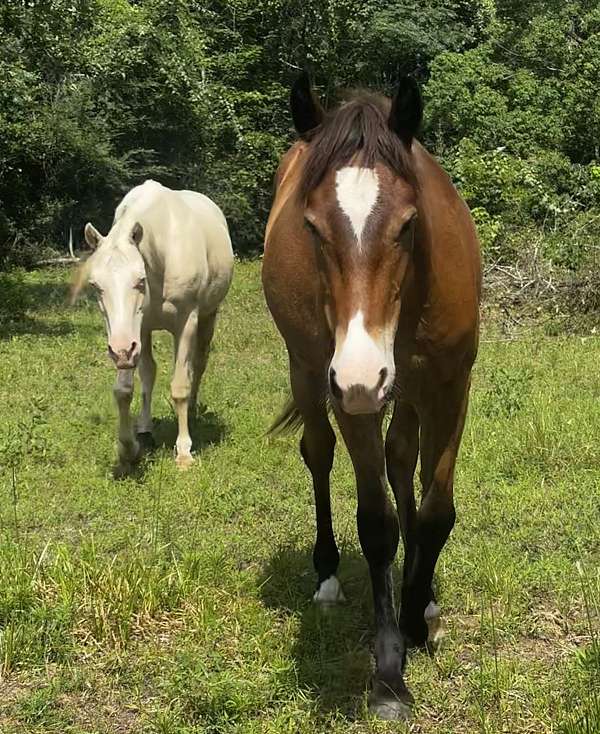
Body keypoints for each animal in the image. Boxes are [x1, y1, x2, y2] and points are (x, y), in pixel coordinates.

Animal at [72, 180, 234, 474]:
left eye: (139, 280)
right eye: (96, 286)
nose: (120, 351)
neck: (162, 252)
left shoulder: (186, 321)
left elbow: (180, 386)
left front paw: (184, 453)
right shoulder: (134, 332)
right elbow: (126, 389)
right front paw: (129, 449)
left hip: (208, 315)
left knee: (198, 364)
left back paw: (192, 411)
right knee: (149, 372)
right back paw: (145, 428)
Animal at [262, 73, 481, 719]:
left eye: (407, 223)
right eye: (311, 227)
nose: (361, 372)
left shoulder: (449, 388)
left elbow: (435, 512)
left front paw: (418, 613)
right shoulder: (351, 398)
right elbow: (377, 523)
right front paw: (388, 670)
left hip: (401, 392)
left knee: (402, 458)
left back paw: (420, 594)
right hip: (311, 374)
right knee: (318, 454)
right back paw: (328, 576)